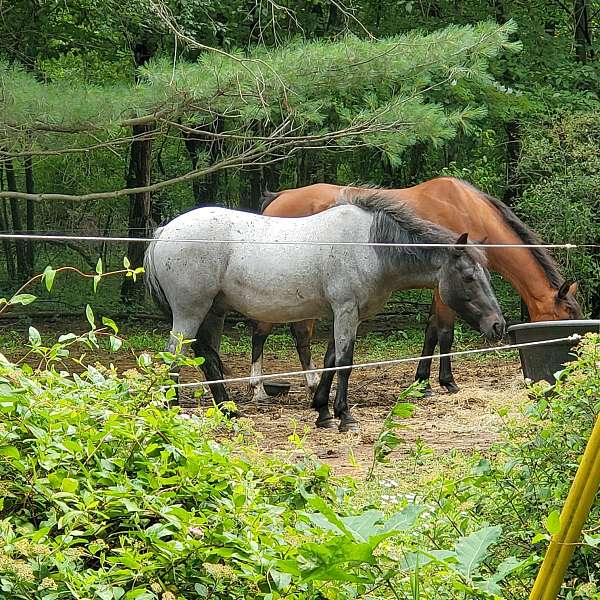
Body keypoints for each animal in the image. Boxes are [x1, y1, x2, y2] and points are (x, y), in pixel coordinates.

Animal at [145, 192, 506, 432]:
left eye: (488, 275)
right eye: (469, 277)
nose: (498, 325)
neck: (370, 246)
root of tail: (164, 232)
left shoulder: (344, 314)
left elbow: (331, 360)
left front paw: (322, 412)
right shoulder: (346, 310)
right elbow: (344, 363)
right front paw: (345, 417)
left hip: (213, 313)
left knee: (207, 358)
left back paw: (229, 412)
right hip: (190, 312)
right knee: (174, 356)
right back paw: (173, 413)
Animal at [253, 175, 580, 398]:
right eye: (564, 319)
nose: (574, 362)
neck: (468, 208)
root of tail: (279, 198)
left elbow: (431, 330)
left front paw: (423, 381)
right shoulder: (445, 288)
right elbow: (444, 332)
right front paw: (448, 382)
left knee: (299, 335)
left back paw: (311, 385)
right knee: (263, 332)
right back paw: (259, 389)